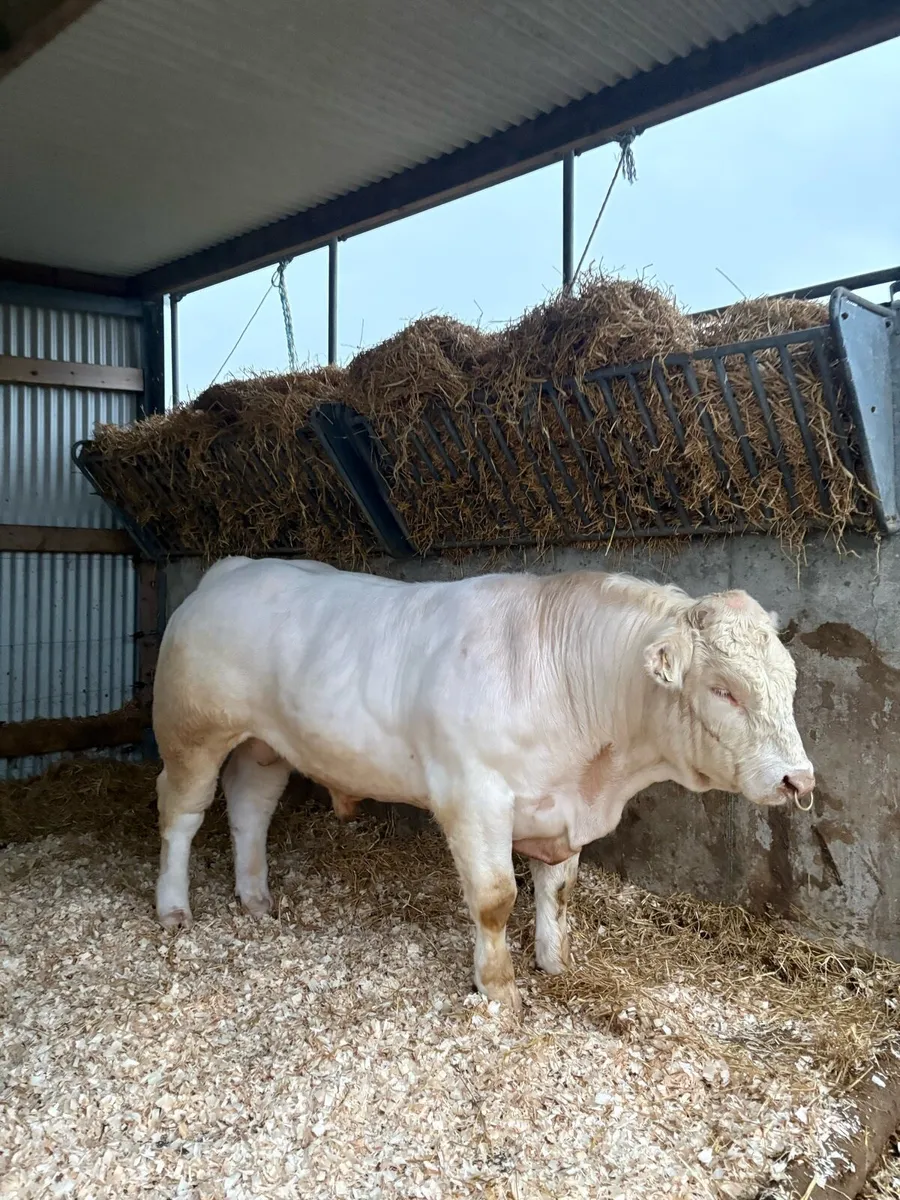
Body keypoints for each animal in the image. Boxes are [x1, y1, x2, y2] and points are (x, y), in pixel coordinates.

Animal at [152, 556, 814, 1014]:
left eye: (790, 681)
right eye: (724, 690)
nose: (798, 778)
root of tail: (232, 569)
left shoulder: (559, 809)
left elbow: (559, 892)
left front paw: (556, 961)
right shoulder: (473, 798)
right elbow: (496, 899)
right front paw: (498, 990)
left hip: (264, 746)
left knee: (250, 808)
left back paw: (256, 898)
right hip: (191, 732)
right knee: (182, 814)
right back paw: (174, 907)